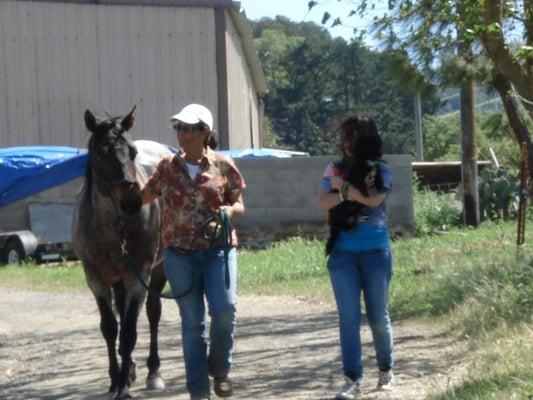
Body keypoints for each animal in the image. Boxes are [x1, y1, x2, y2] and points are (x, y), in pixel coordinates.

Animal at [71, 108, 169, 398]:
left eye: (133, 152)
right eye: (101, 153)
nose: (132, 202)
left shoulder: (139, 275)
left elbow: (128, 332)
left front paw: (124, 385)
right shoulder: (95, 279)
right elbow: (109, 327)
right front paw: (116, 379)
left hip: (157, 271)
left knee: (151, 313)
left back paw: (152, 371)